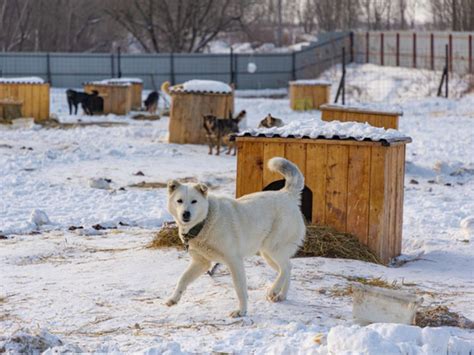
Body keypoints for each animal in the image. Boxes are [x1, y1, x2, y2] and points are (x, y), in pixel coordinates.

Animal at [167, 157, 306, 318]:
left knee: (286, 267)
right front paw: (173, 299)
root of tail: (287, 194)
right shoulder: (201, 263)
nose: (186, 214)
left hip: (273, 248)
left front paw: (241, 311)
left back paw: (274, 290)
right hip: (268, 255)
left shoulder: (234, 261)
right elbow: (182, 279)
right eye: (179, 201)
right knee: (287, 269)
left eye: (194, 201)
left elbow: (240, 289)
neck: (205, 222)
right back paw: (281, 295)